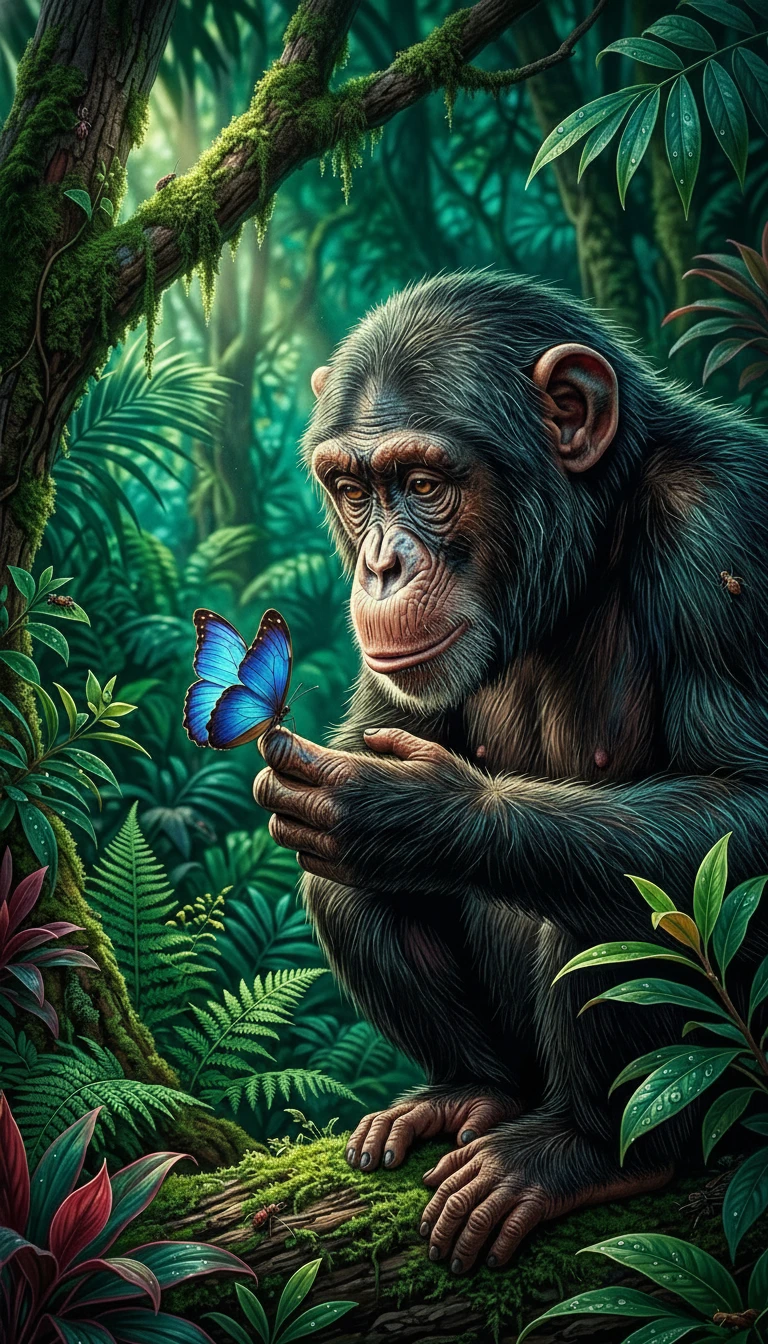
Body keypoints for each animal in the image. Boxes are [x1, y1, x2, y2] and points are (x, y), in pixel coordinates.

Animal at [254, 271, 768, 1275]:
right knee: (344, 882)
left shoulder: (726, 527)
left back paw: (584, 1153)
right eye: (352, 491)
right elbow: (362, 746)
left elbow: (741, 801)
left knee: (626, 889)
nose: (380, 564)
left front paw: (409, 816)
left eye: (423, 484)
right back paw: (469, 1092)